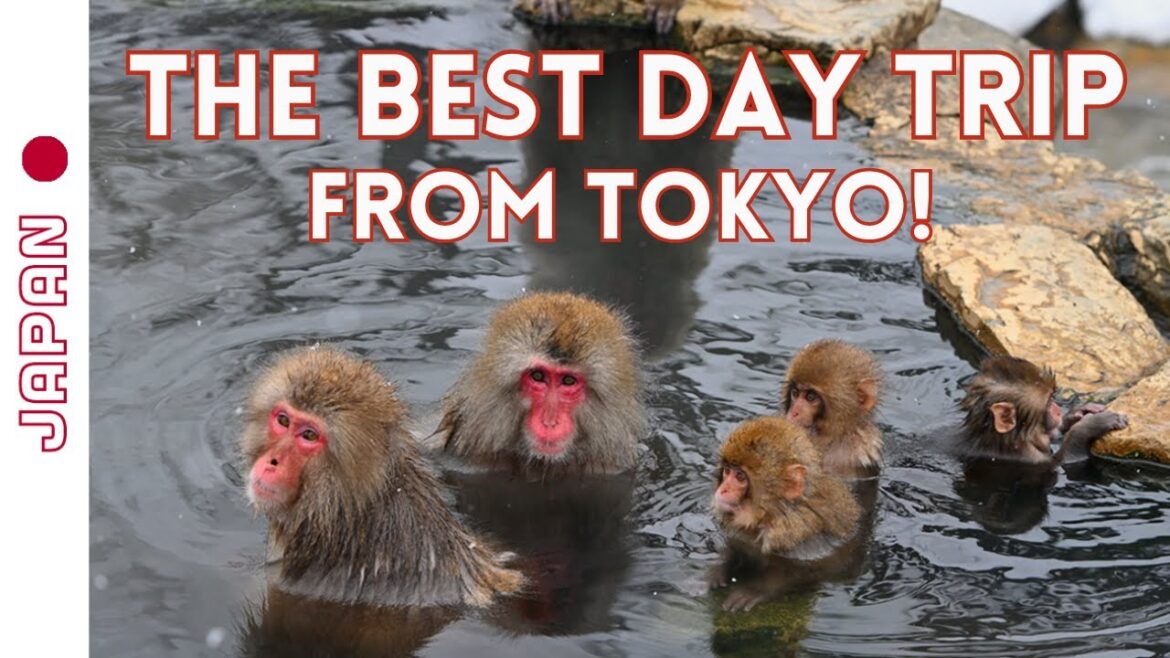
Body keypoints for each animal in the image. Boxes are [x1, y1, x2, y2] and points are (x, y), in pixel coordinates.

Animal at [958, 355, 1129, 465]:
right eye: (1048, 403)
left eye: (1053, 397)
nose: (1057, 410)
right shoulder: (1028, 458)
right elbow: (1062, 462)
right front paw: (1090, 425)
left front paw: (1079, 412)